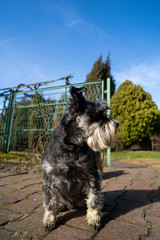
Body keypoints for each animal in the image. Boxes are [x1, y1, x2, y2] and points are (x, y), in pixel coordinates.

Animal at [41, 86, 119, 231]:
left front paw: (94, 220)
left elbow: (94, 200)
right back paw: (60, 206)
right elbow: (49, 203)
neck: (72, 147)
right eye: (96, 115)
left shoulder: (91, 176)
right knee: (57, 201)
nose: (117, 123)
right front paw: (49, 221)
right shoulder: (49, 179)